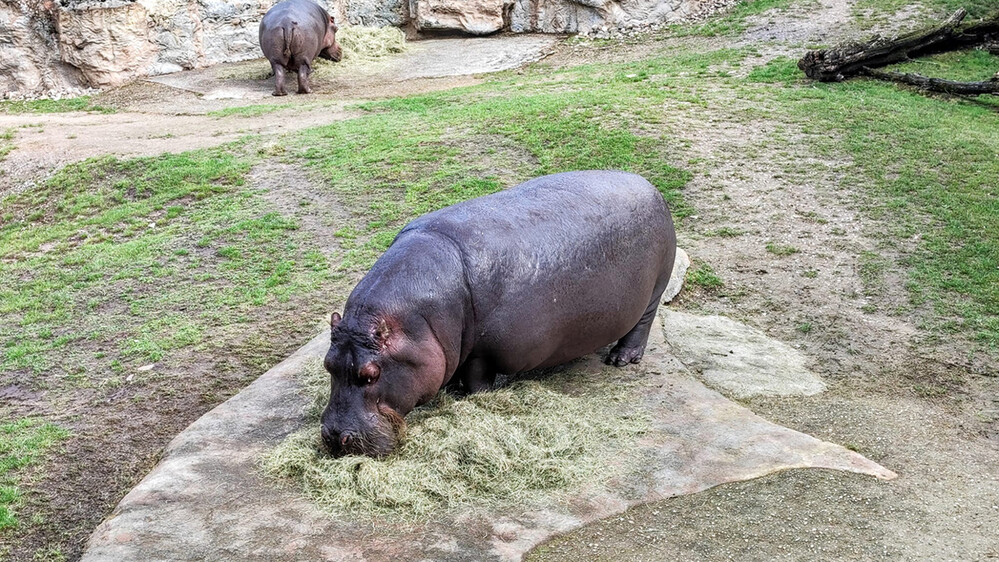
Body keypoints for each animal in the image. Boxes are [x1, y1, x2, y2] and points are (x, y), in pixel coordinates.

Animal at [320, 170, 680, 456]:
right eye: (327, 365)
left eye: (370, 374)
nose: (335, 437)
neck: (418, 323)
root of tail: (650, 185)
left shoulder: (484, 352)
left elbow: (477, 378)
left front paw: (471, 396)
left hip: (656, 287)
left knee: (643, 323)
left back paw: (621, 359)